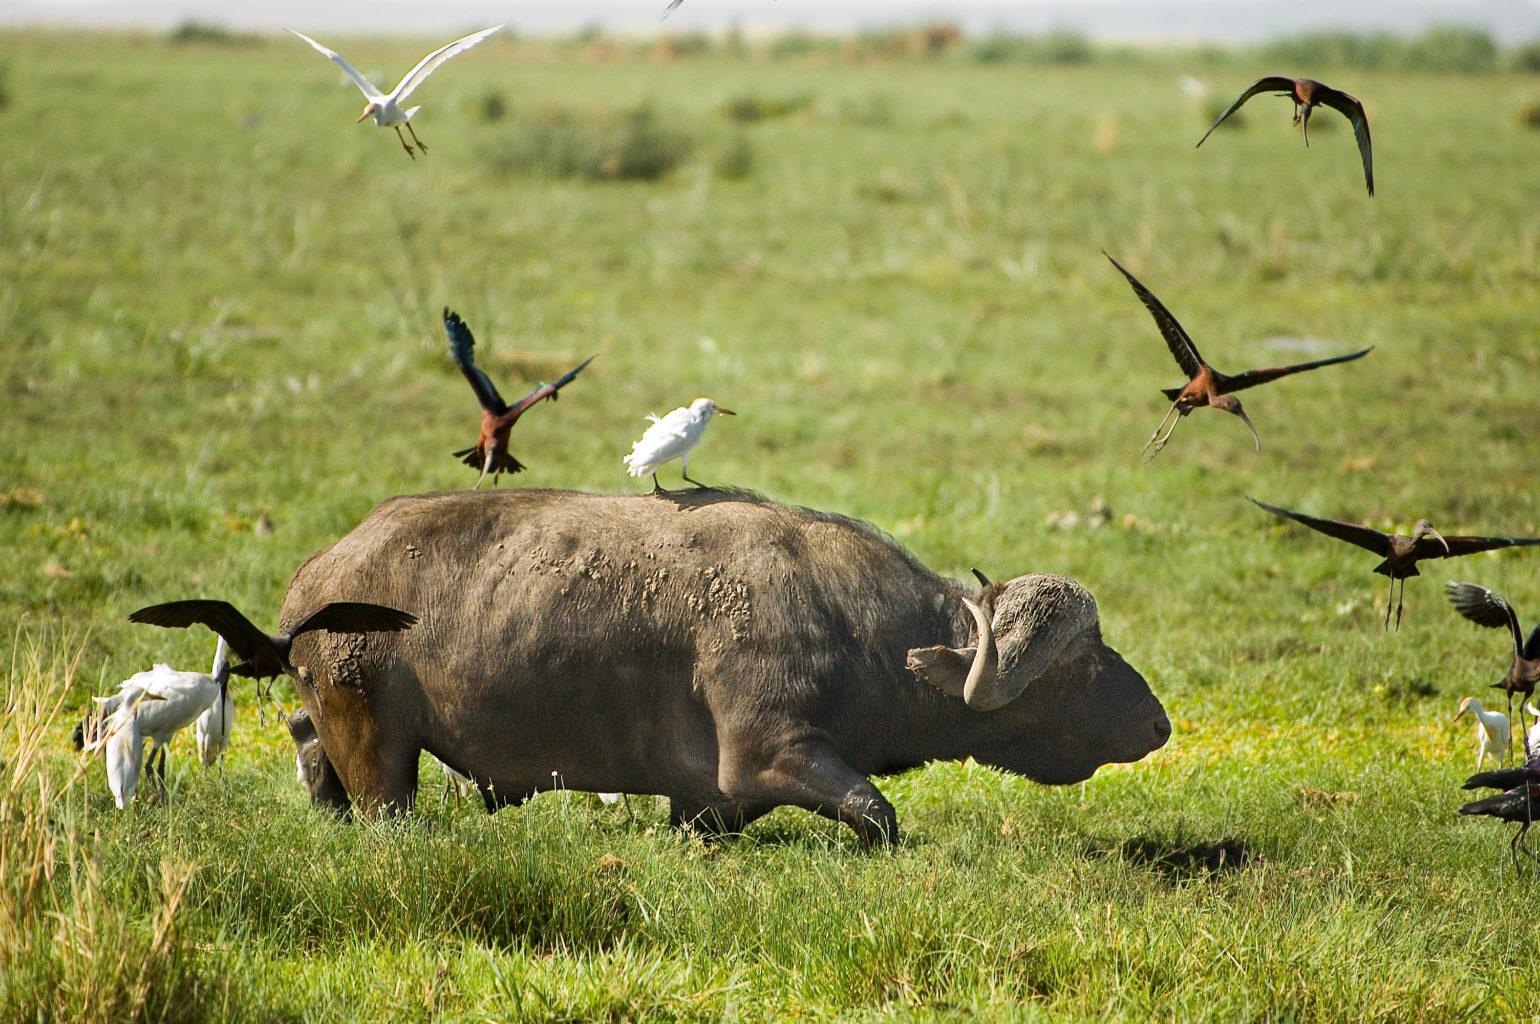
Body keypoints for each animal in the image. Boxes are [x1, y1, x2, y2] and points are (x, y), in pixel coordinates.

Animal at [280, 492, 1164, 843]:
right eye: (1081, 664)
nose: (1158, 724)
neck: (857, 627)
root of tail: (319, 574)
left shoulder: (707, 798)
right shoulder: (769, 752)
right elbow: (877, 814)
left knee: (310, 746)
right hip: (381, 749)